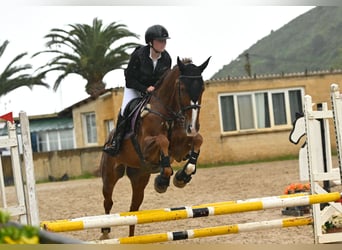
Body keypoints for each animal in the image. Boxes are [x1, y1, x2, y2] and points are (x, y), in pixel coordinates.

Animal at [99, 56, 211, 238]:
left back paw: (132, 238)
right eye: (182, 88)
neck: (169, 113)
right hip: (110, 175)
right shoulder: (145, 147)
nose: (192, 126)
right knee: (108, 201)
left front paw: (182, 176)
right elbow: (162, 140)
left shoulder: (179, 149)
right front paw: (163, 180)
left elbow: (198, 140)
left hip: (139, 177)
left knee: (133, 210)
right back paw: (105, 232)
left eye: (202, 88)